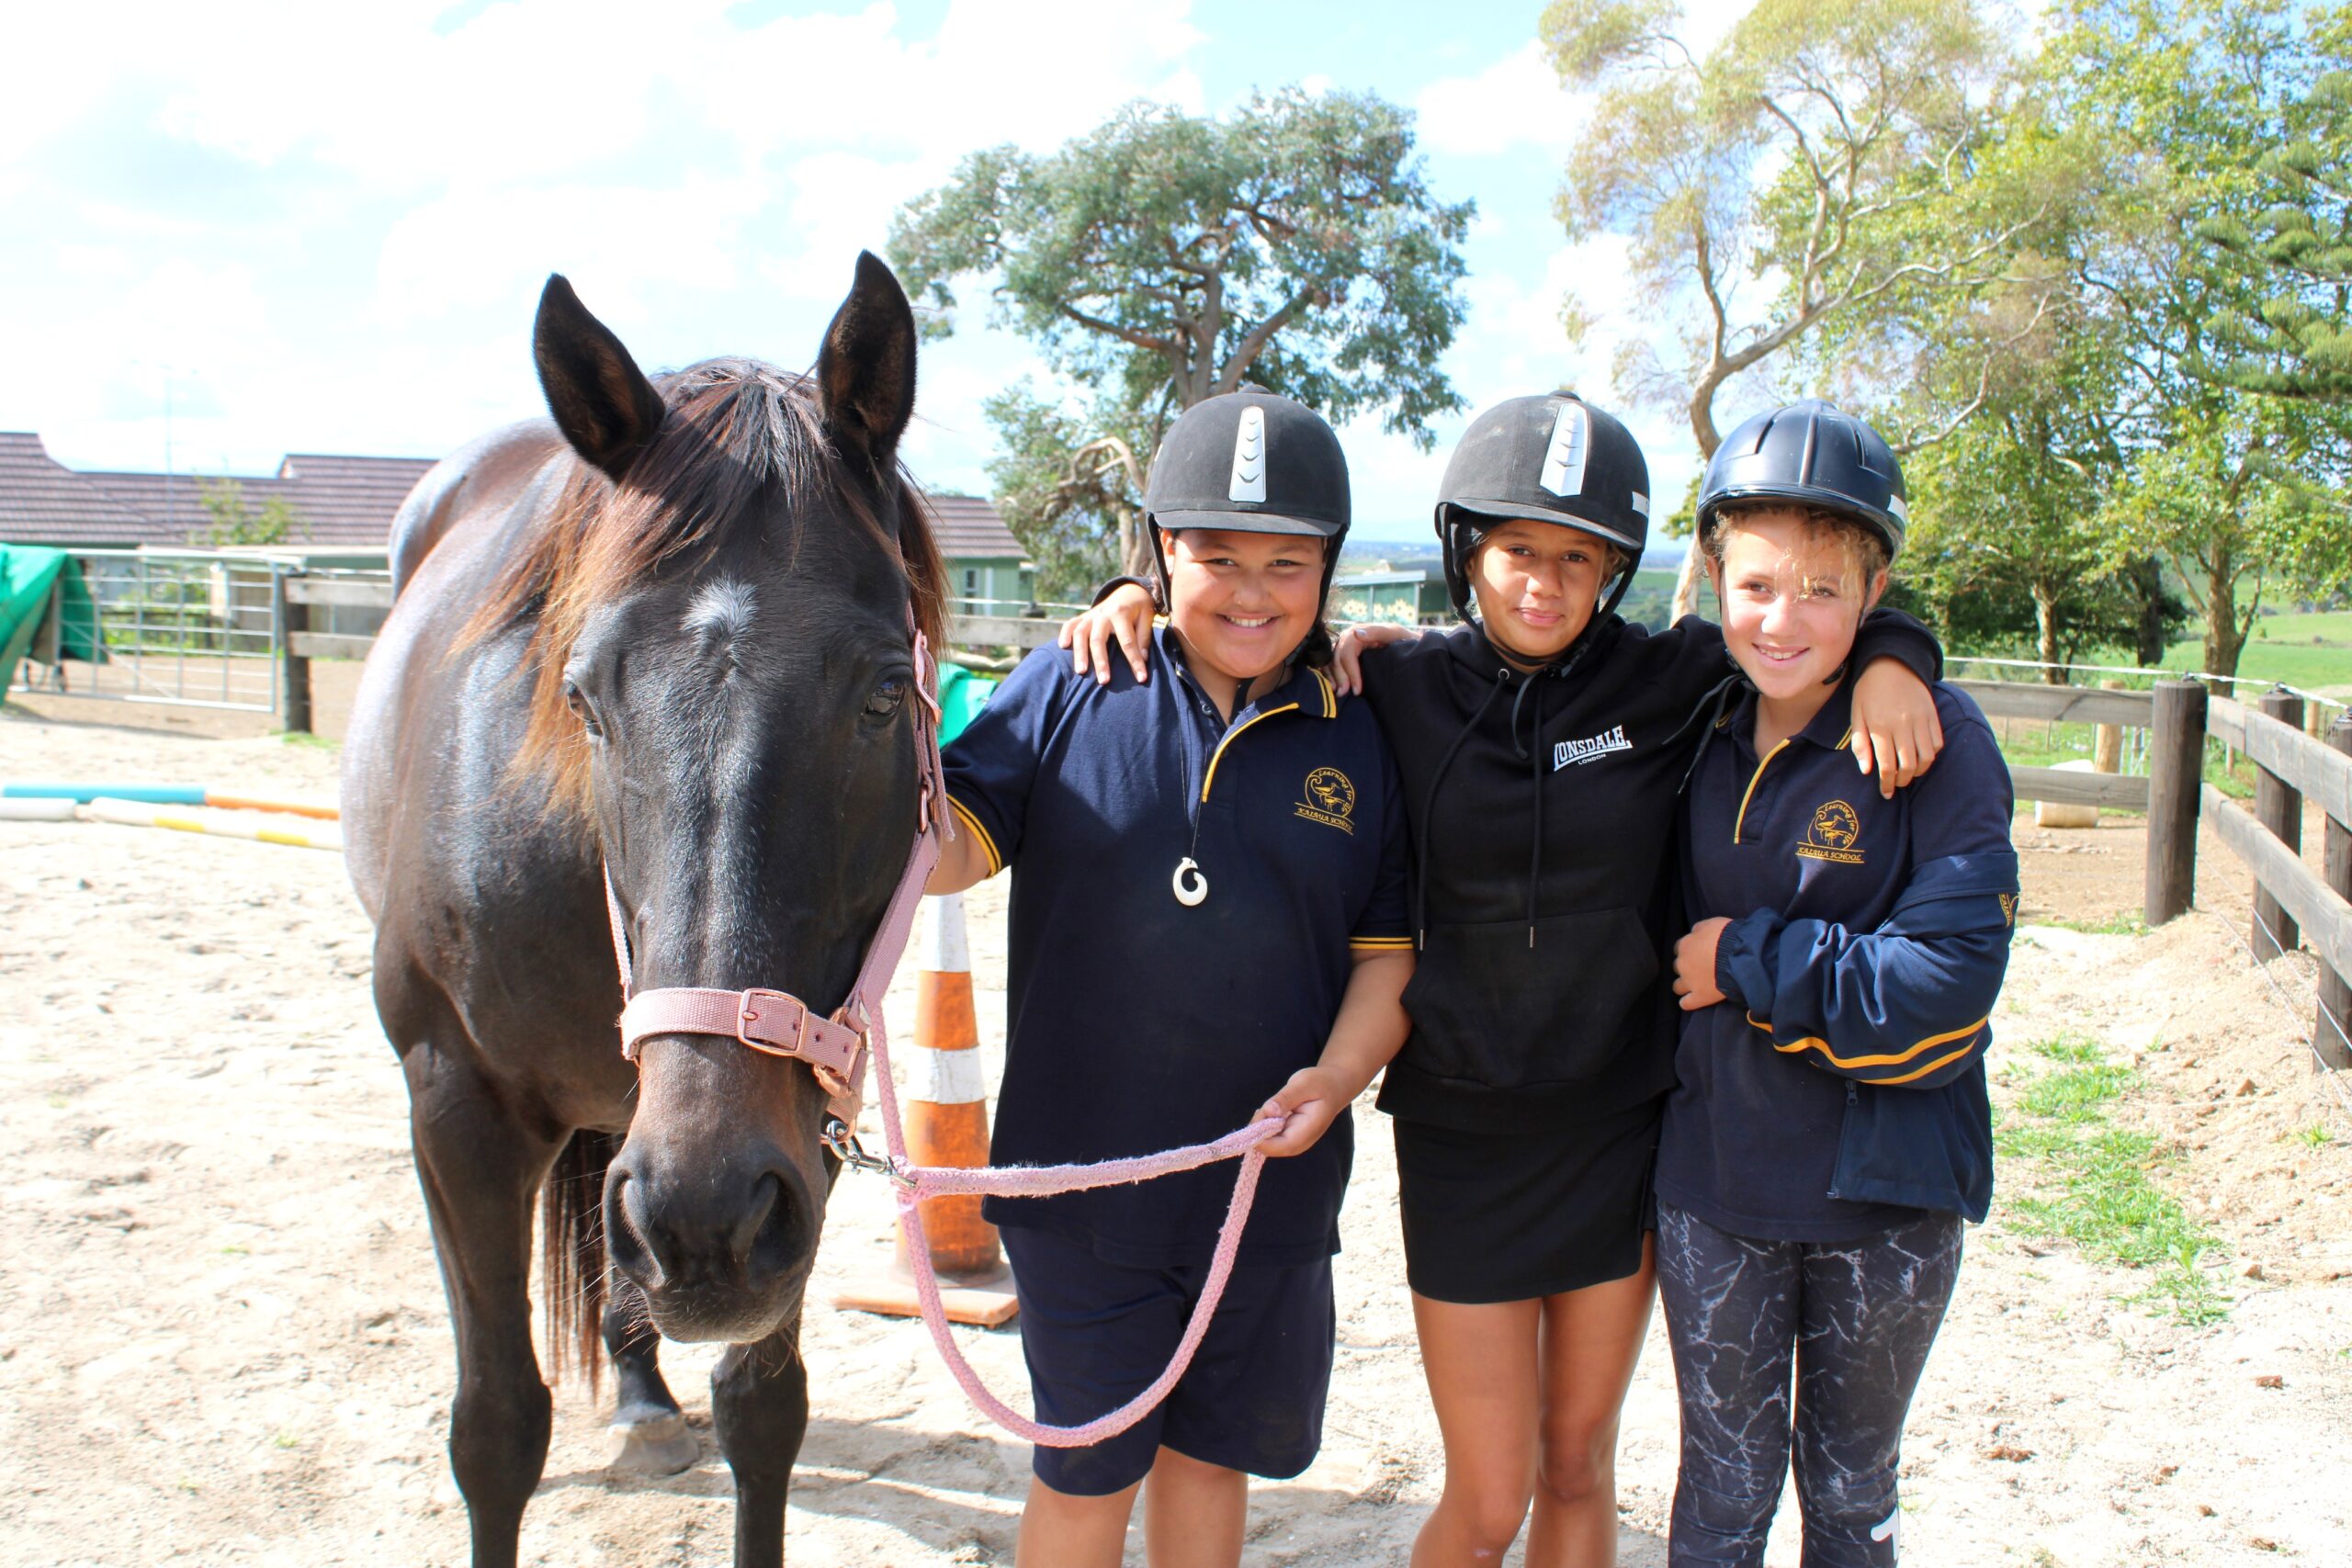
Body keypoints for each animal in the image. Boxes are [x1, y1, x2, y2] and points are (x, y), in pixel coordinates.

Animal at [341, 251, 945, 1561]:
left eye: (886, 694)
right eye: (584, 696)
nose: (702, 1220)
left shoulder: (794, 1135)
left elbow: (764, 1413)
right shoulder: (452, 1109)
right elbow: (495, 1429)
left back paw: (641, 1387)